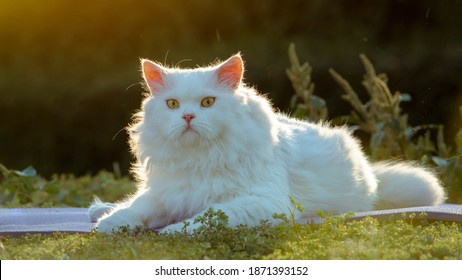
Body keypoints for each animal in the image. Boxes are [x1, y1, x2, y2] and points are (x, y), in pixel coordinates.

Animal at [88, 53, 446, 233]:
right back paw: (99, 210)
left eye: (207, 102)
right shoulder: (166, 194)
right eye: (173, 105)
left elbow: (205, 217)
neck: (199, 159)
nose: (187, 117)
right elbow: (136, 210)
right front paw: (110, 224)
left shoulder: (261, 201)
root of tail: (371, 175)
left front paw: (172, 231)